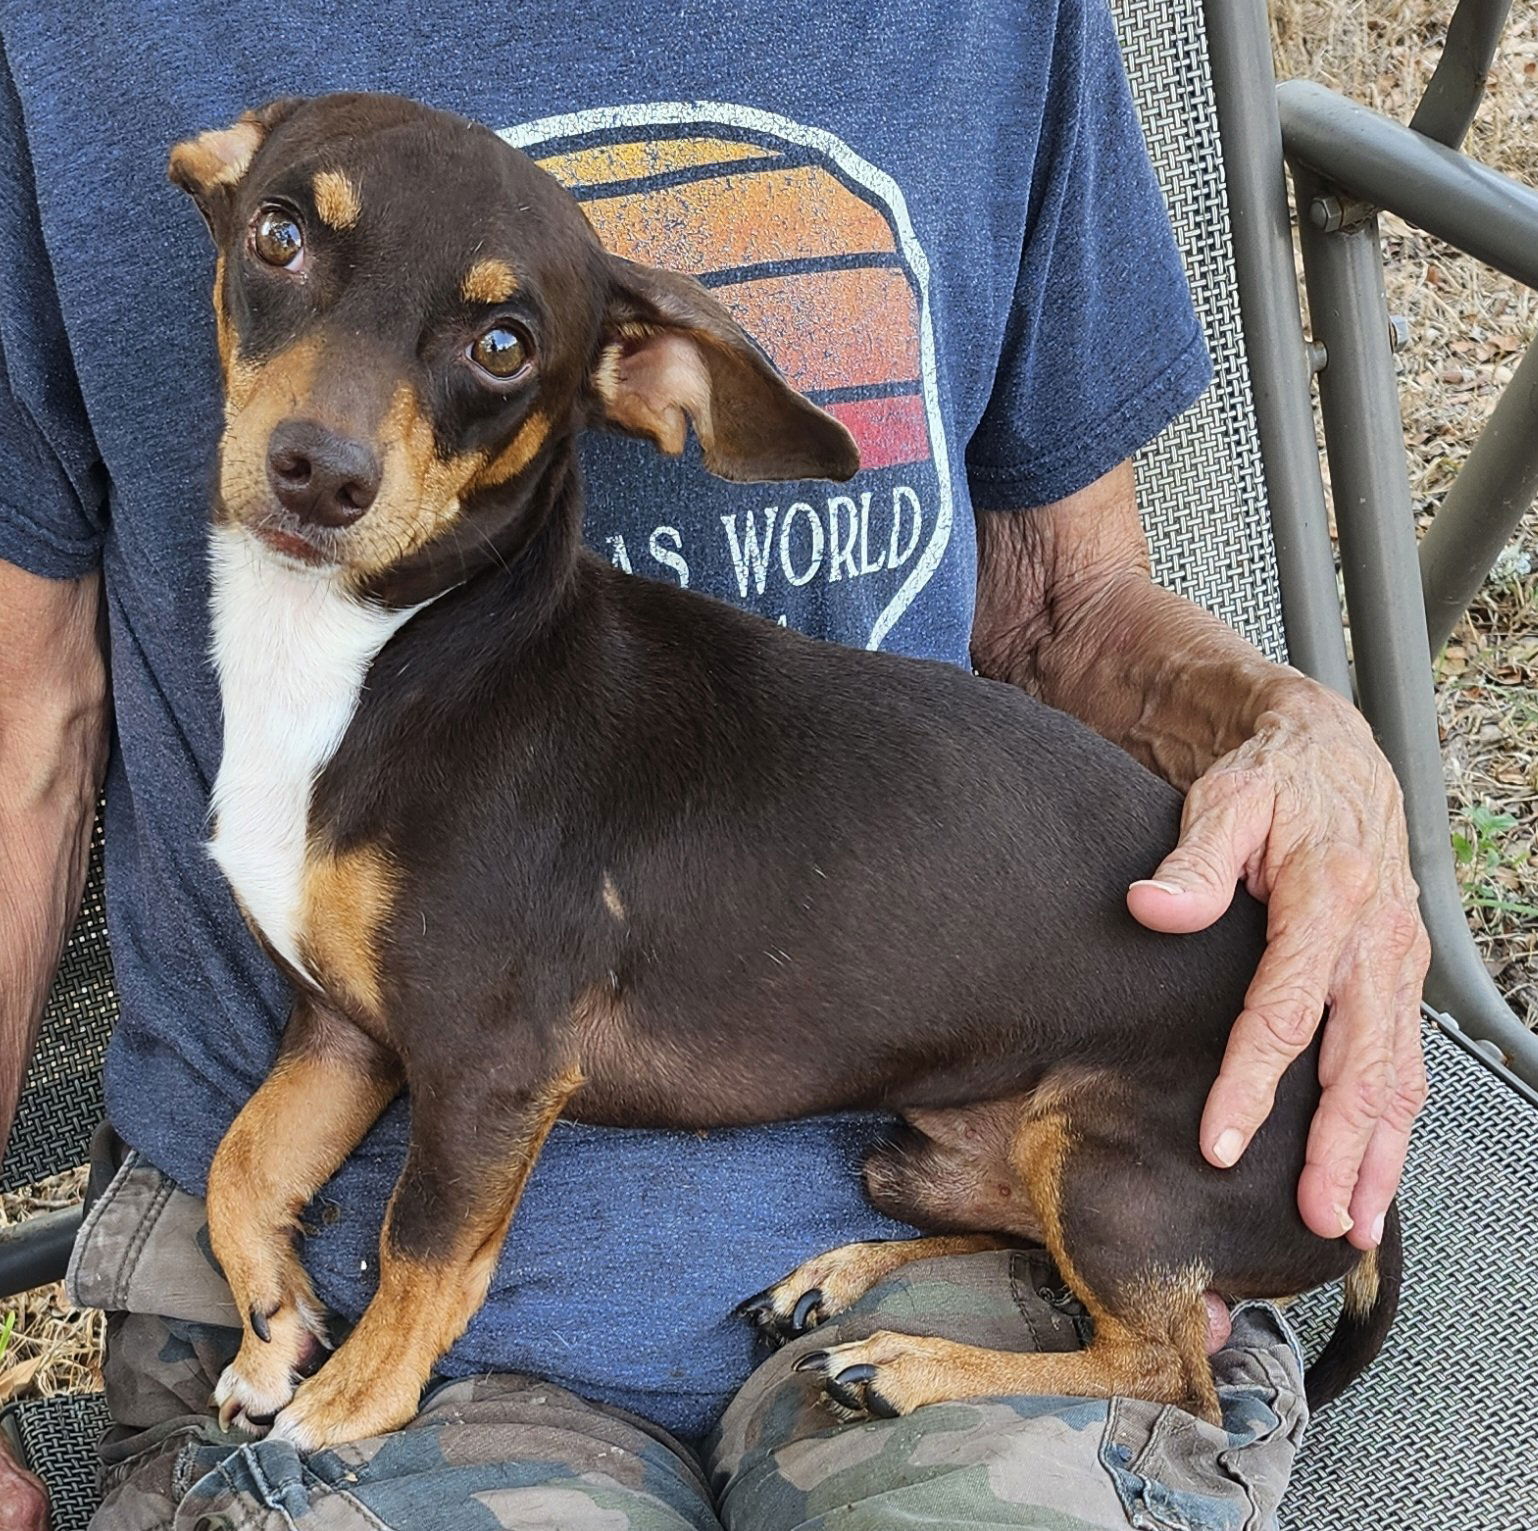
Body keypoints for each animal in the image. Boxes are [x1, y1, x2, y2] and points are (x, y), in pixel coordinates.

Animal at [171, 89, 1408, 1452]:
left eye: (503, 345)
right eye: (278, 234)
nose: (320, 472)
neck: (392, 658)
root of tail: (1366, 1208)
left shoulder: (485, 1068)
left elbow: (422, 1250)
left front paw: (351, 1399)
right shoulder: (348, 1028)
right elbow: (238, 1163)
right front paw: (272, 1324)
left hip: (1110, 1171)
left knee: (1166, 1369)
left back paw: (906, 1364)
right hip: (933, 1156)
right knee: (1038, 1262)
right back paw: (842, 1280)